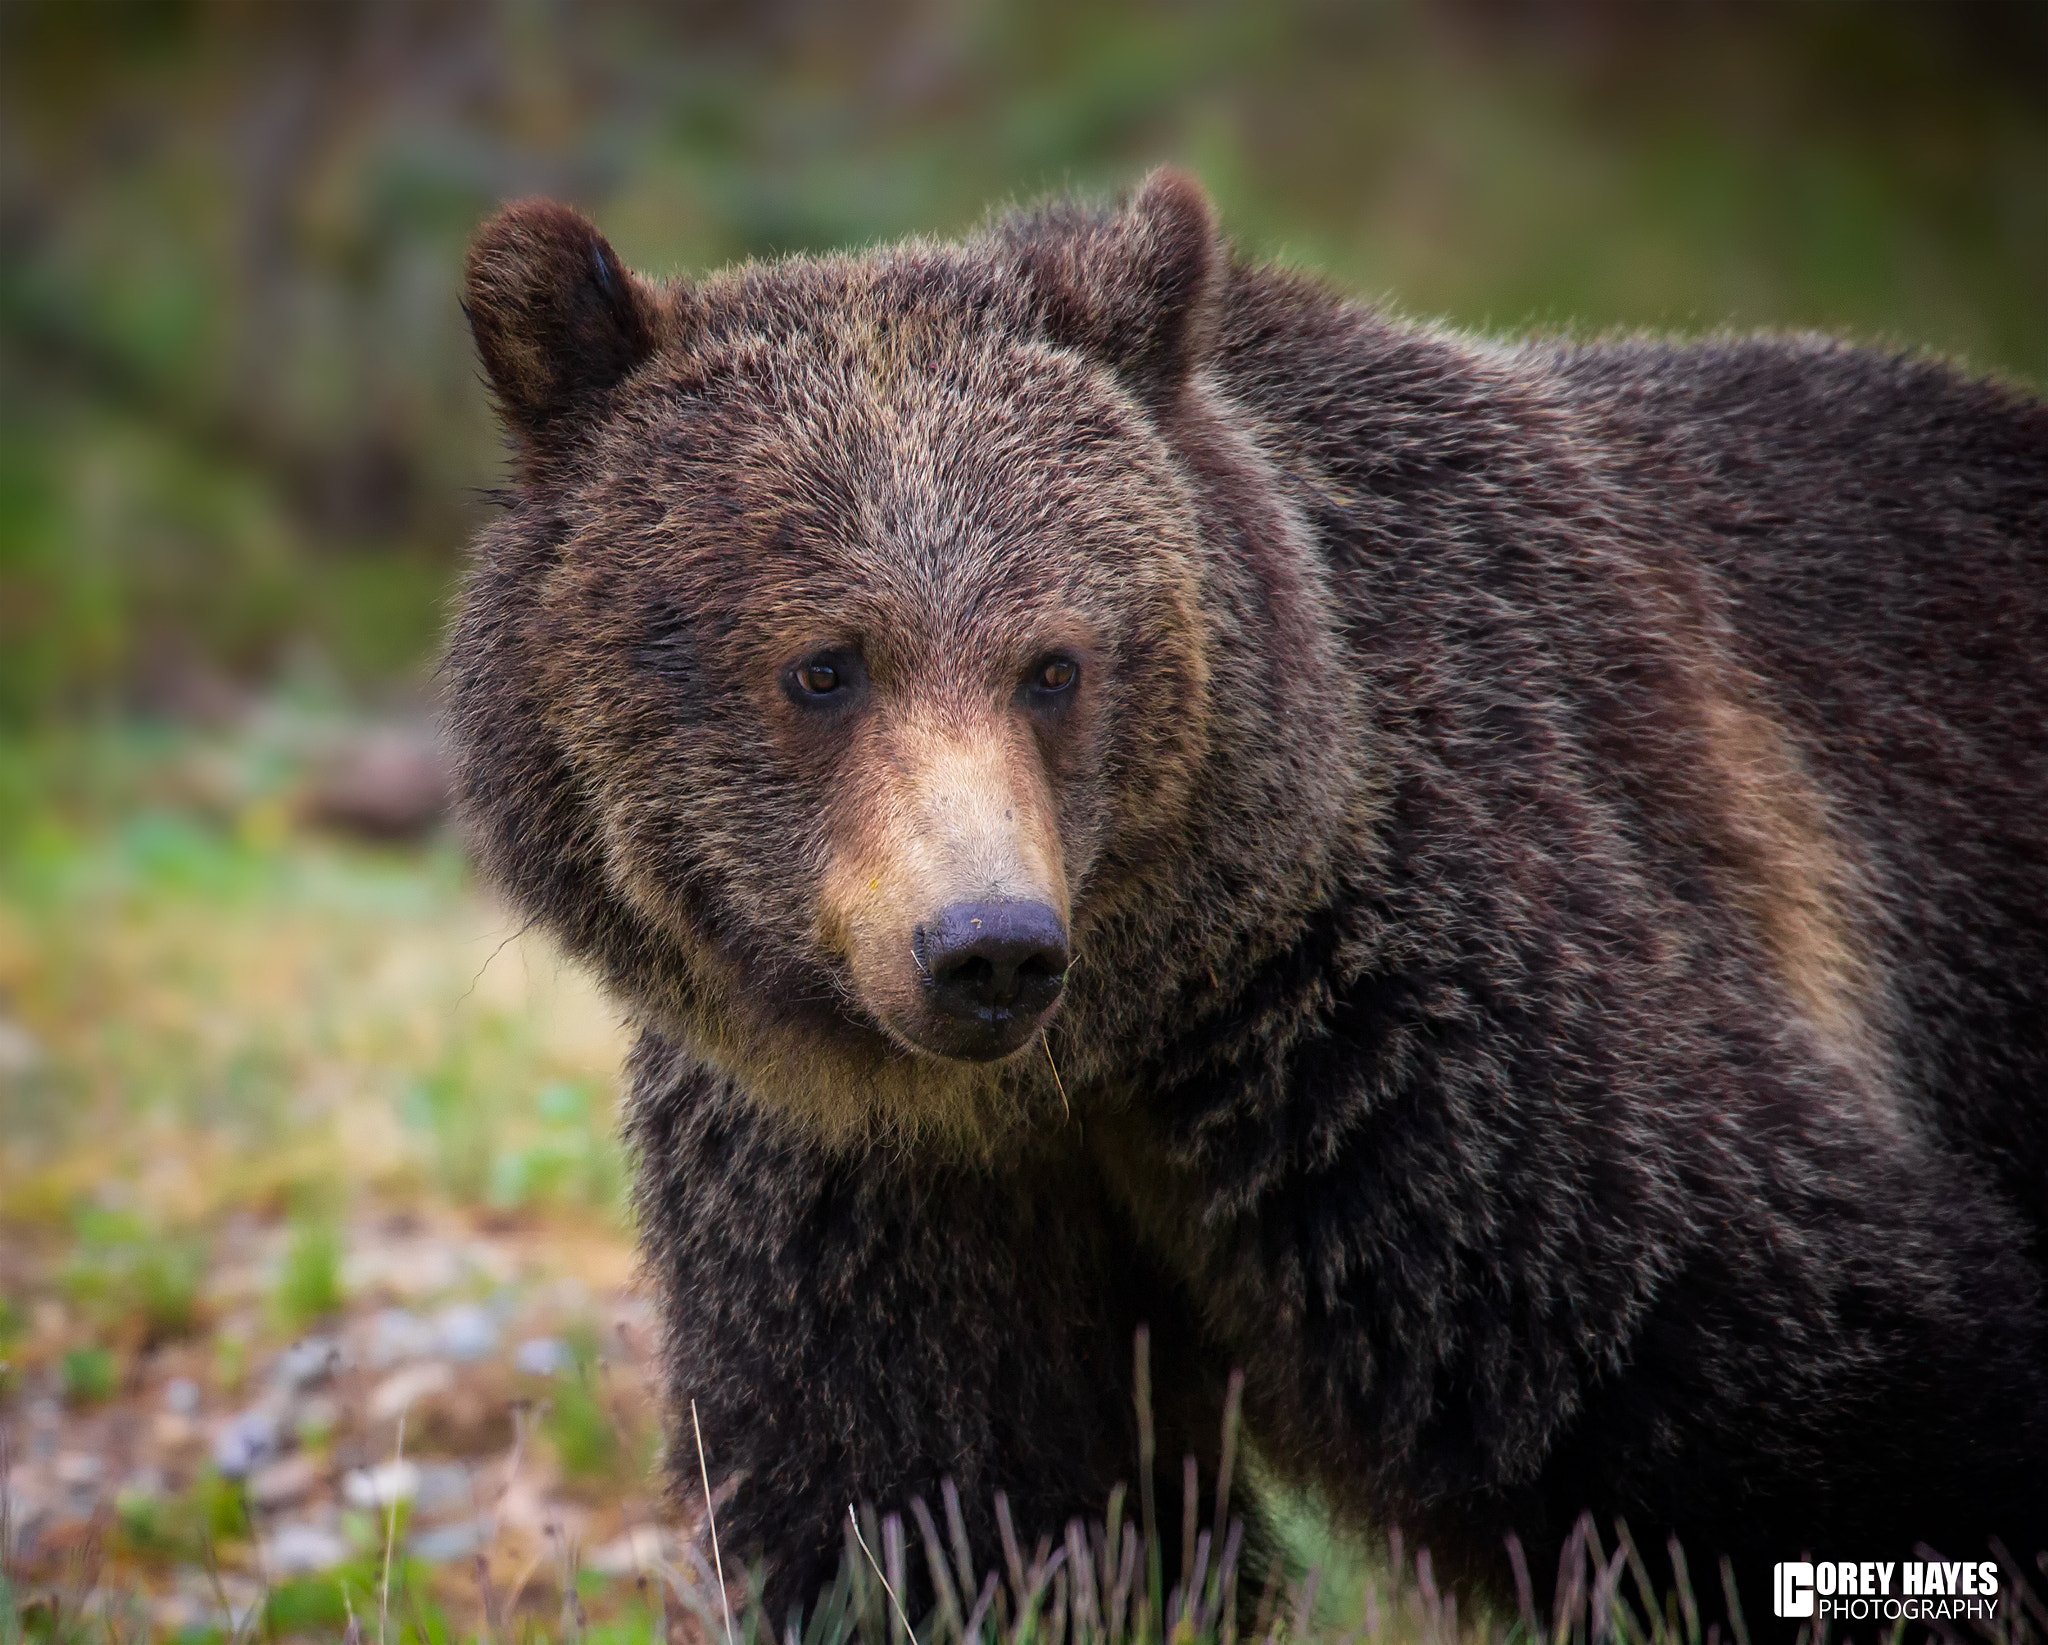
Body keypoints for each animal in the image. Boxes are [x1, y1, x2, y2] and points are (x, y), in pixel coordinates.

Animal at [447, 170, 2048, 1632]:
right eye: (823, 666)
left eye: (1055, 662)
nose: (987, 949)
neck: (1118, 1047)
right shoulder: (870, 1177)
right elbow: (955, 1506)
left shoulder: (1426, 1029)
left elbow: (1783, 1367)